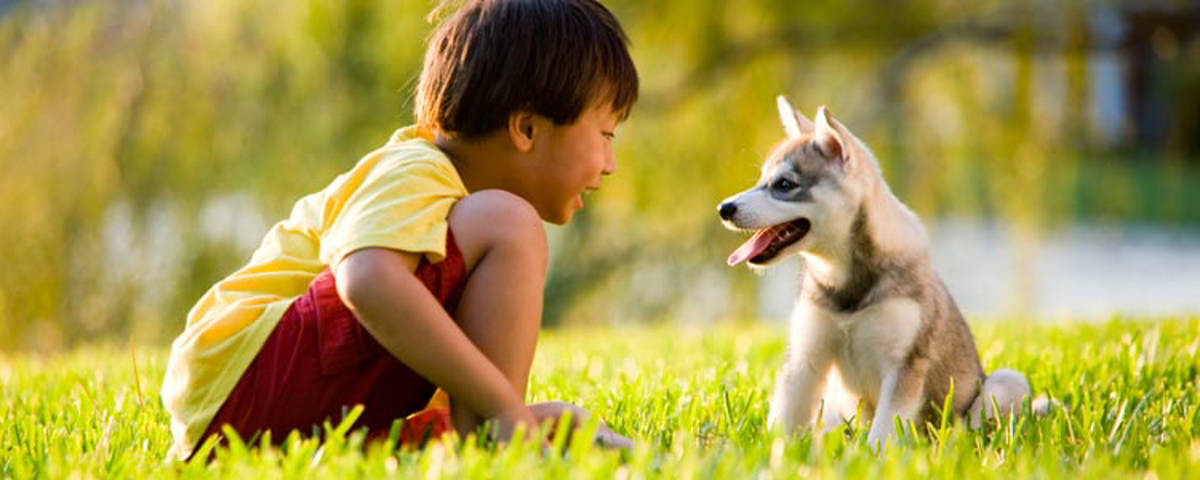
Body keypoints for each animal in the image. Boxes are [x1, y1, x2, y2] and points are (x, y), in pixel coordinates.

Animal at [720, 96, 1032, 446]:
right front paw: (769, 452)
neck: (845, 279)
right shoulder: (805, 358)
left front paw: (872, 454)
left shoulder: (903, 366)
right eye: (761, 180)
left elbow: (883, 432)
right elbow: (784, 420)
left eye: (784, 184)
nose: (724, 209)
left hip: (1007, 383)